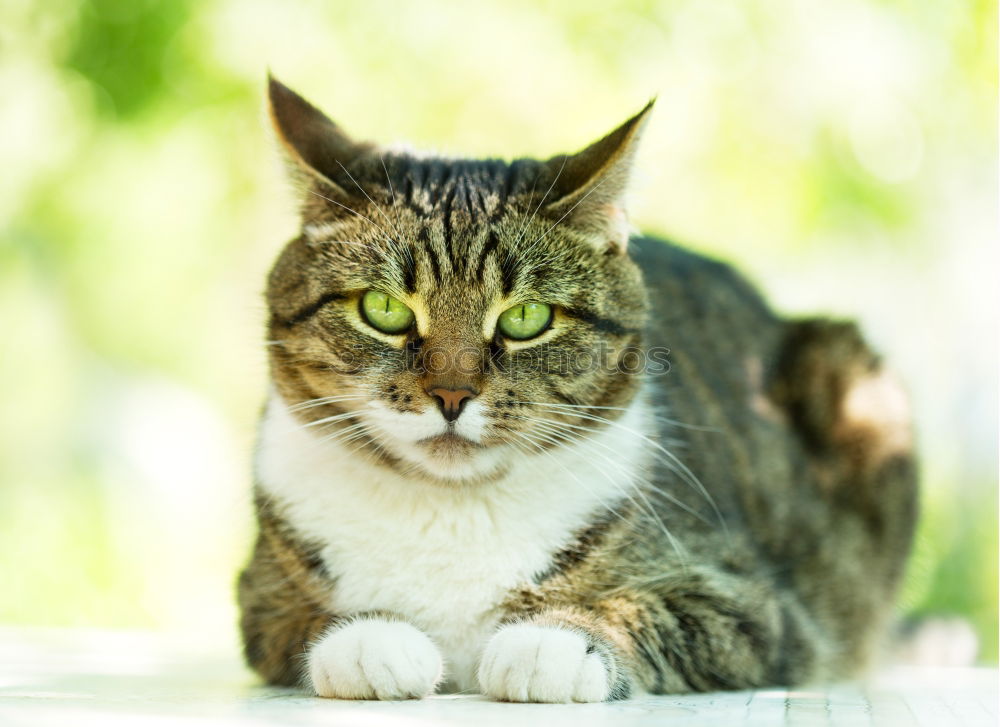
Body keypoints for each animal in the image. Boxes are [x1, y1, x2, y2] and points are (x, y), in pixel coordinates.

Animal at [238, 77, 916, 704]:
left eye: (526, 317)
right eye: (382, 309)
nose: (452, 395)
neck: (454, 511)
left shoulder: (760, 605)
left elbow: (651, 609)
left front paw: (553, 643)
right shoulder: (259, 599)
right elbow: (303, 622)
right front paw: (371, 639)